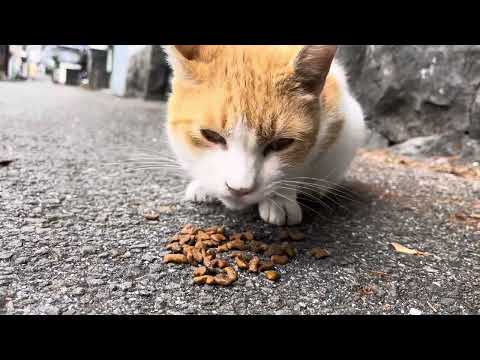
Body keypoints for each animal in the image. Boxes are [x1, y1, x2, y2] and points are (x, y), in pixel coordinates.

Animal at [161, 45, 364, 225]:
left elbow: (299, 166)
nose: (239, 189)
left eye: (281, 143)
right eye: (210, 135)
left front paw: (280, 198)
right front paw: (203, 184)